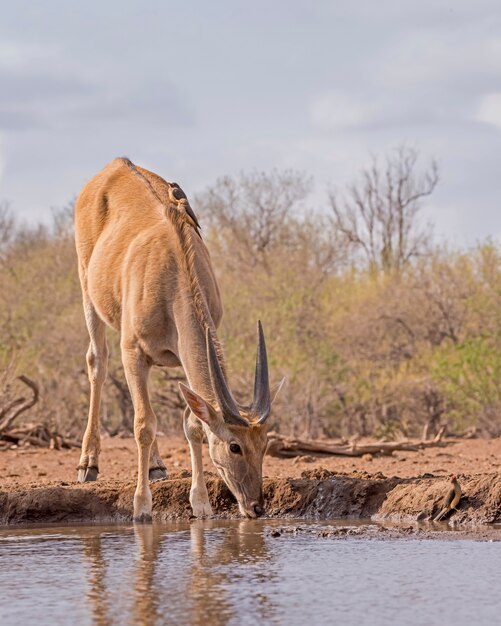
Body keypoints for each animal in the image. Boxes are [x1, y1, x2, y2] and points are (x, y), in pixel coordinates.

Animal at [73, 158, 282, 520]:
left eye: (265, 443)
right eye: (235, 446)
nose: (256, 506)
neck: (174, 271)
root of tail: (114, 165)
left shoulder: (185, 354)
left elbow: (193, 424)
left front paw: (201, 503)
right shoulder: (132, 351)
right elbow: (143, 424)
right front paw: (141, 507)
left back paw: (156, 467)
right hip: (88, 291)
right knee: (97, 362)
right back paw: (89, 464)